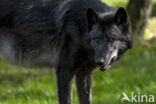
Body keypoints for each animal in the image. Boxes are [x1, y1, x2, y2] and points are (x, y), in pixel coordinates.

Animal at [0, 0, 133, 103]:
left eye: (110, 39)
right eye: (96, 39)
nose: (99, 61)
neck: (81, 27)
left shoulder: (84, 74)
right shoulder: (64, 72)